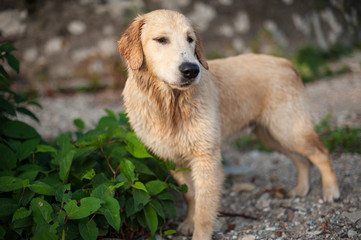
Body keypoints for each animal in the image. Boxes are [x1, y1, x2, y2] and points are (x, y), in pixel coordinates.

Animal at [116, 9, 338, 240]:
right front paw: (188, 222)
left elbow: (205, 211)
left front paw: (199, 232)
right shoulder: (174, 161)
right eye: (161, 39)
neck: (171, 105)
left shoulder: (207, 159)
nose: (191, 70)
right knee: (303, 160)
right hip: (272, 136)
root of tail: (286, 63)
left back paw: (331, 191)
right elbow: (191, 196)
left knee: (321, 153)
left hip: (289, 129)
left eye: (190, 39)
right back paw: (301, 189)